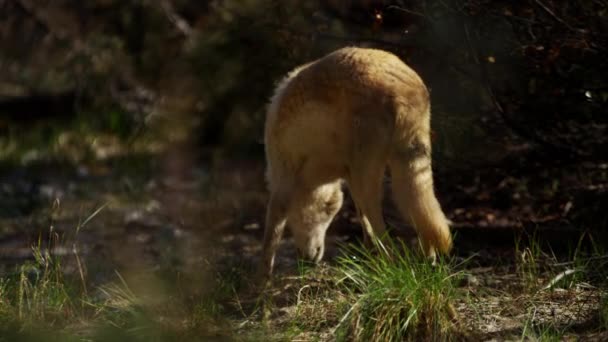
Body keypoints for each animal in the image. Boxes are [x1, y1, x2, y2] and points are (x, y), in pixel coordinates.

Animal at [260, 46, 452, 276]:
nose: (308, 261)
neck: (319, 174)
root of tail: (403, 87)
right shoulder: (348, 174)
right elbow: (364, 222)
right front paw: (368, 254)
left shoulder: (282, 179)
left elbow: (270, 236)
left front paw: (262, 280)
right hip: (406, 165)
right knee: (421, 217)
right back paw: (426, 263)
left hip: (368, 175)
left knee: (382, 227)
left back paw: (390, 267)